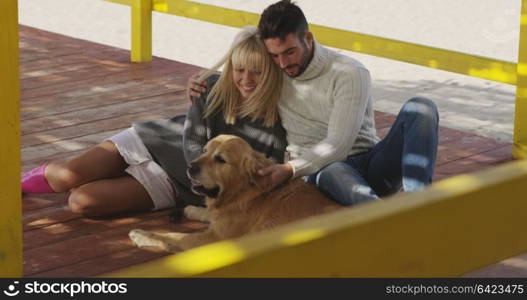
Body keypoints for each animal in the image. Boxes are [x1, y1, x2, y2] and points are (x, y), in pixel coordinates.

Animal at [128, 135, 342, 252]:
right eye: (204, 150)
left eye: (220, 159)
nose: (190, 167)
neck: (243, 191)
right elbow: (208, 213)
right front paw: (191, 209)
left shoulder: (216, 239)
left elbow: (174, 236)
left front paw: (142, 234)